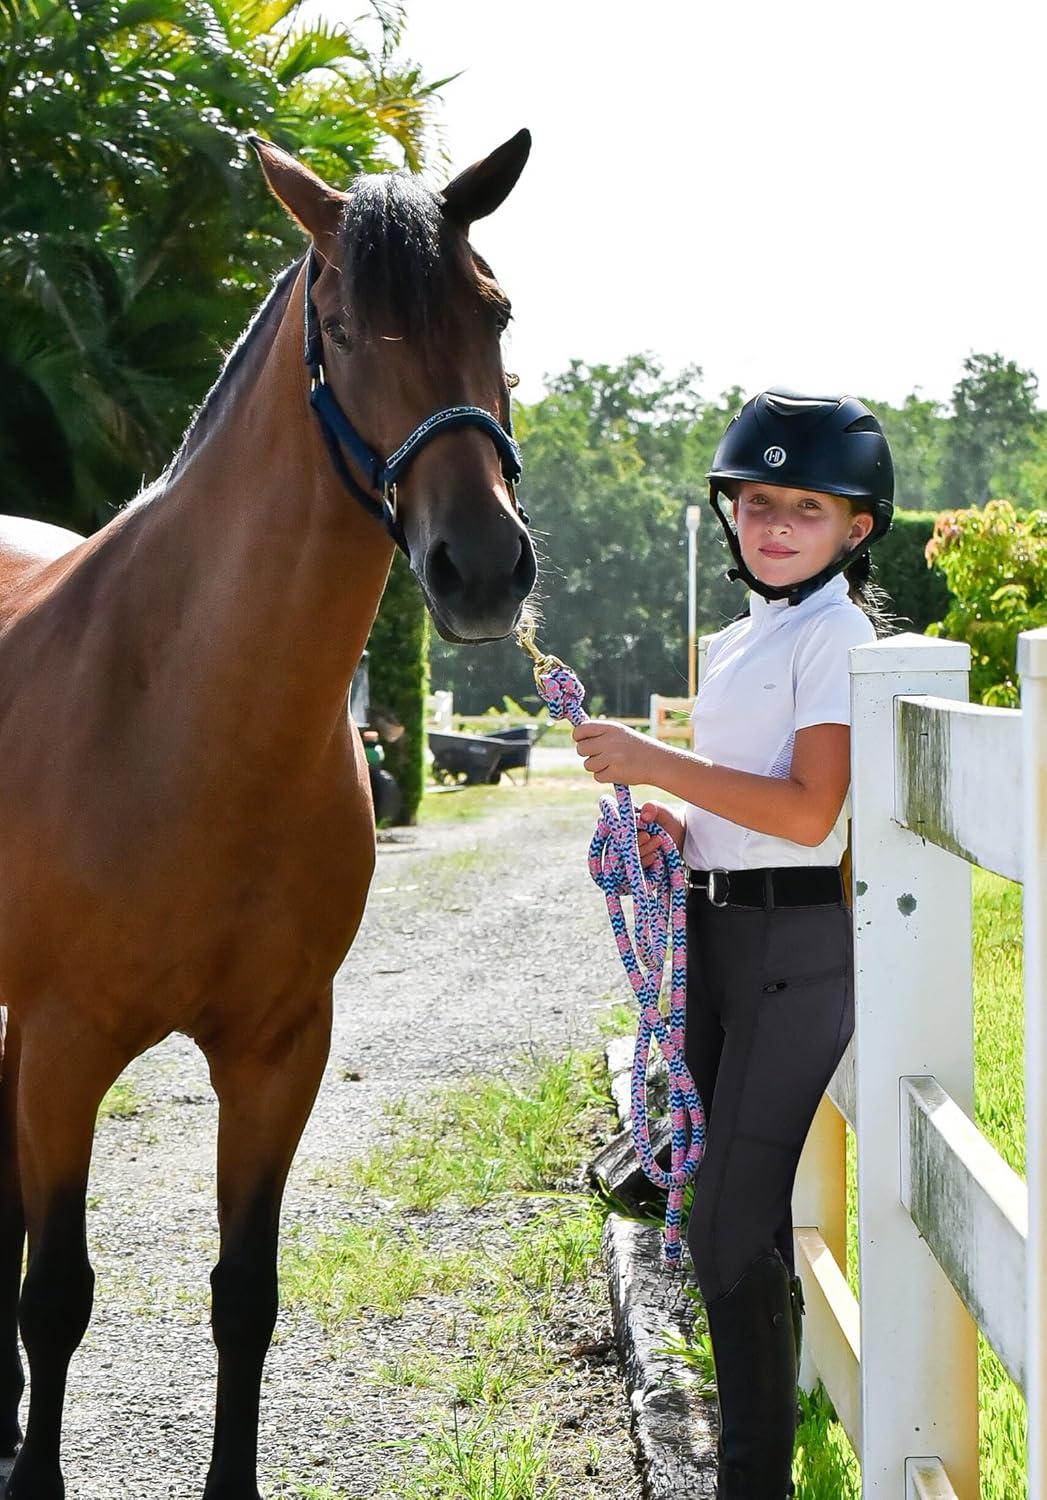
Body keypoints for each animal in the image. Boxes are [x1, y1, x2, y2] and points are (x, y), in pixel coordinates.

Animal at [0, 128, 536, 1498]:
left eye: (495, 310)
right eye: (341, 324)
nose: (480, 567)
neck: (182, 707)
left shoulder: (278, 1051)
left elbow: (246, 1293)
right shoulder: (72, 1043)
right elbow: (58, 1292)